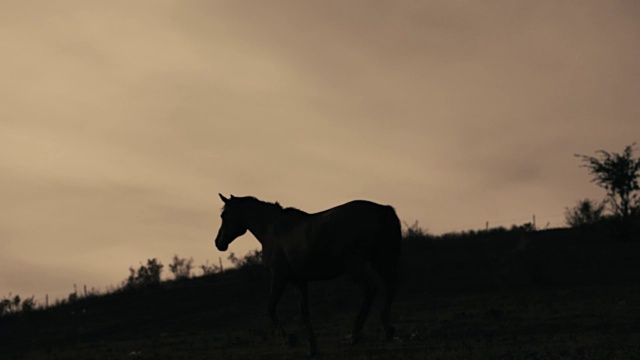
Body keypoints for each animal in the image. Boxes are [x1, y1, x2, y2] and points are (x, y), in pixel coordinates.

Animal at [215, 193, 400, 356]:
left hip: (356, 265)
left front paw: (291, 339)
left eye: (224, 215)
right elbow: (304, 313)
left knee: (371, 289)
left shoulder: (279, 277)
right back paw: (387, 329)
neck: (273, 231)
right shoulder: (299, 281)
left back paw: (353, 337)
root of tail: (383, 210)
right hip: (381, 260)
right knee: (390, 288)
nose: (218, 242)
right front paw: (312, 348)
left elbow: (271, 308)